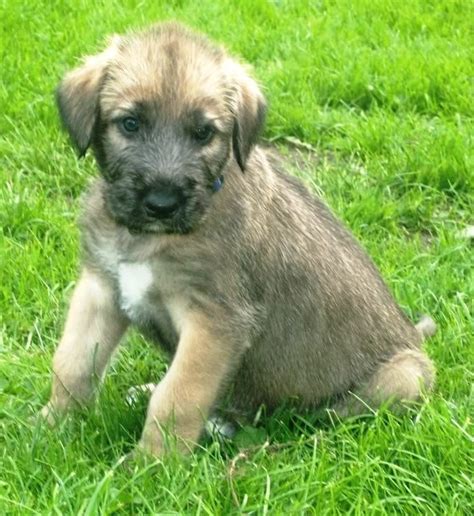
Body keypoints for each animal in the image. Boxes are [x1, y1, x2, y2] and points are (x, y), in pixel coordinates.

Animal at [42, 23, 436, 456]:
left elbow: (177, 397)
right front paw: (50, 426)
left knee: (334, 415)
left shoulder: (215, 320)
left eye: (203, 133)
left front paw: (152, 463)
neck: (148, 239)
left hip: (405, 375)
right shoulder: (101, 287)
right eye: (130, 124)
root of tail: (414, 337)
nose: (162, 203)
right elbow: (72, 363)